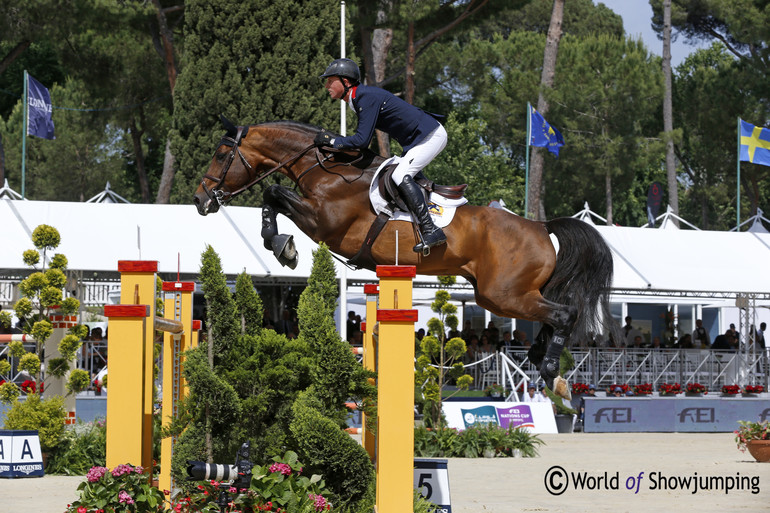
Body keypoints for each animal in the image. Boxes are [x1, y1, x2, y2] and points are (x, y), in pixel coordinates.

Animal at [192, 118, 616, 398]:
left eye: (221, 154)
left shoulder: (323, 222)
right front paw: (282, 245)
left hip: (503, 294)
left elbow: (274, 193)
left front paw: (282, 246)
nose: (200, 200)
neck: (327, 169)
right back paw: (542, 362)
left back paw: (551, 373)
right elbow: (273, 196)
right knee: (554, 314)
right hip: (498, 295)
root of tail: (542, 227)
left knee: (564, 313)